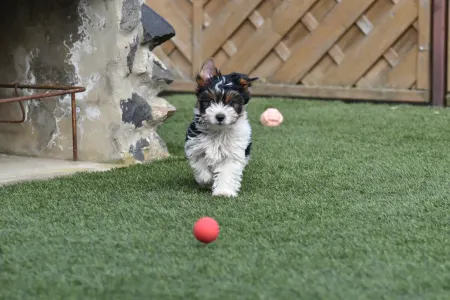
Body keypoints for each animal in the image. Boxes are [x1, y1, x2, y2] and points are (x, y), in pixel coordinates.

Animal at [185, 58, 258, 199]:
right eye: (210, 101)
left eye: (231, 102)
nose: (220, 116)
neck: (218, 131)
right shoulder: (196, 146)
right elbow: (200, 165)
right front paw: (207, 180)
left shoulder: (233, 154)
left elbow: (227, 172)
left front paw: (223, 191)